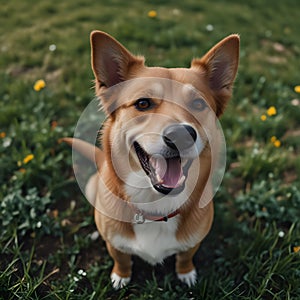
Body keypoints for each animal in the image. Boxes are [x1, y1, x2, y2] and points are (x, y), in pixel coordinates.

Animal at [61, 31, 239, 290]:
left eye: (198, 104)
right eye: (143, 103)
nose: (180, 135)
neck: (156, 205)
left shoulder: (193, 242)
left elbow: (185, 256)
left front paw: (186, 273)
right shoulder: (116, 246)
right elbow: (122, 258)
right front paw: (121, 276)